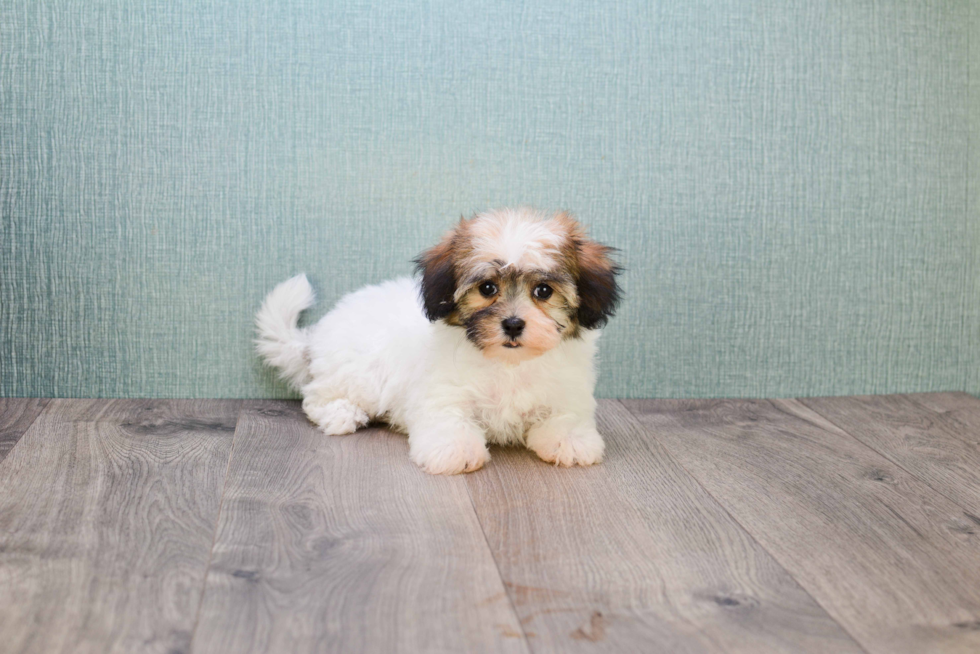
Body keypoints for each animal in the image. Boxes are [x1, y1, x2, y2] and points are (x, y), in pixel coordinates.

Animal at [255, 209, 620, 476]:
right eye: (487, 288)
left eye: (544, 291)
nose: (514, 324)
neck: (508, 365)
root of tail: (320, 335)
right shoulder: (442, 392)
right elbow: (448, 419)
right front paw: (456, 450)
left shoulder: (566, 393)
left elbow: (566, 416)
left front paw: (570, 441)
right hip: (357, 373)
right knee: (316, 396)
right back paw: (342, 415)